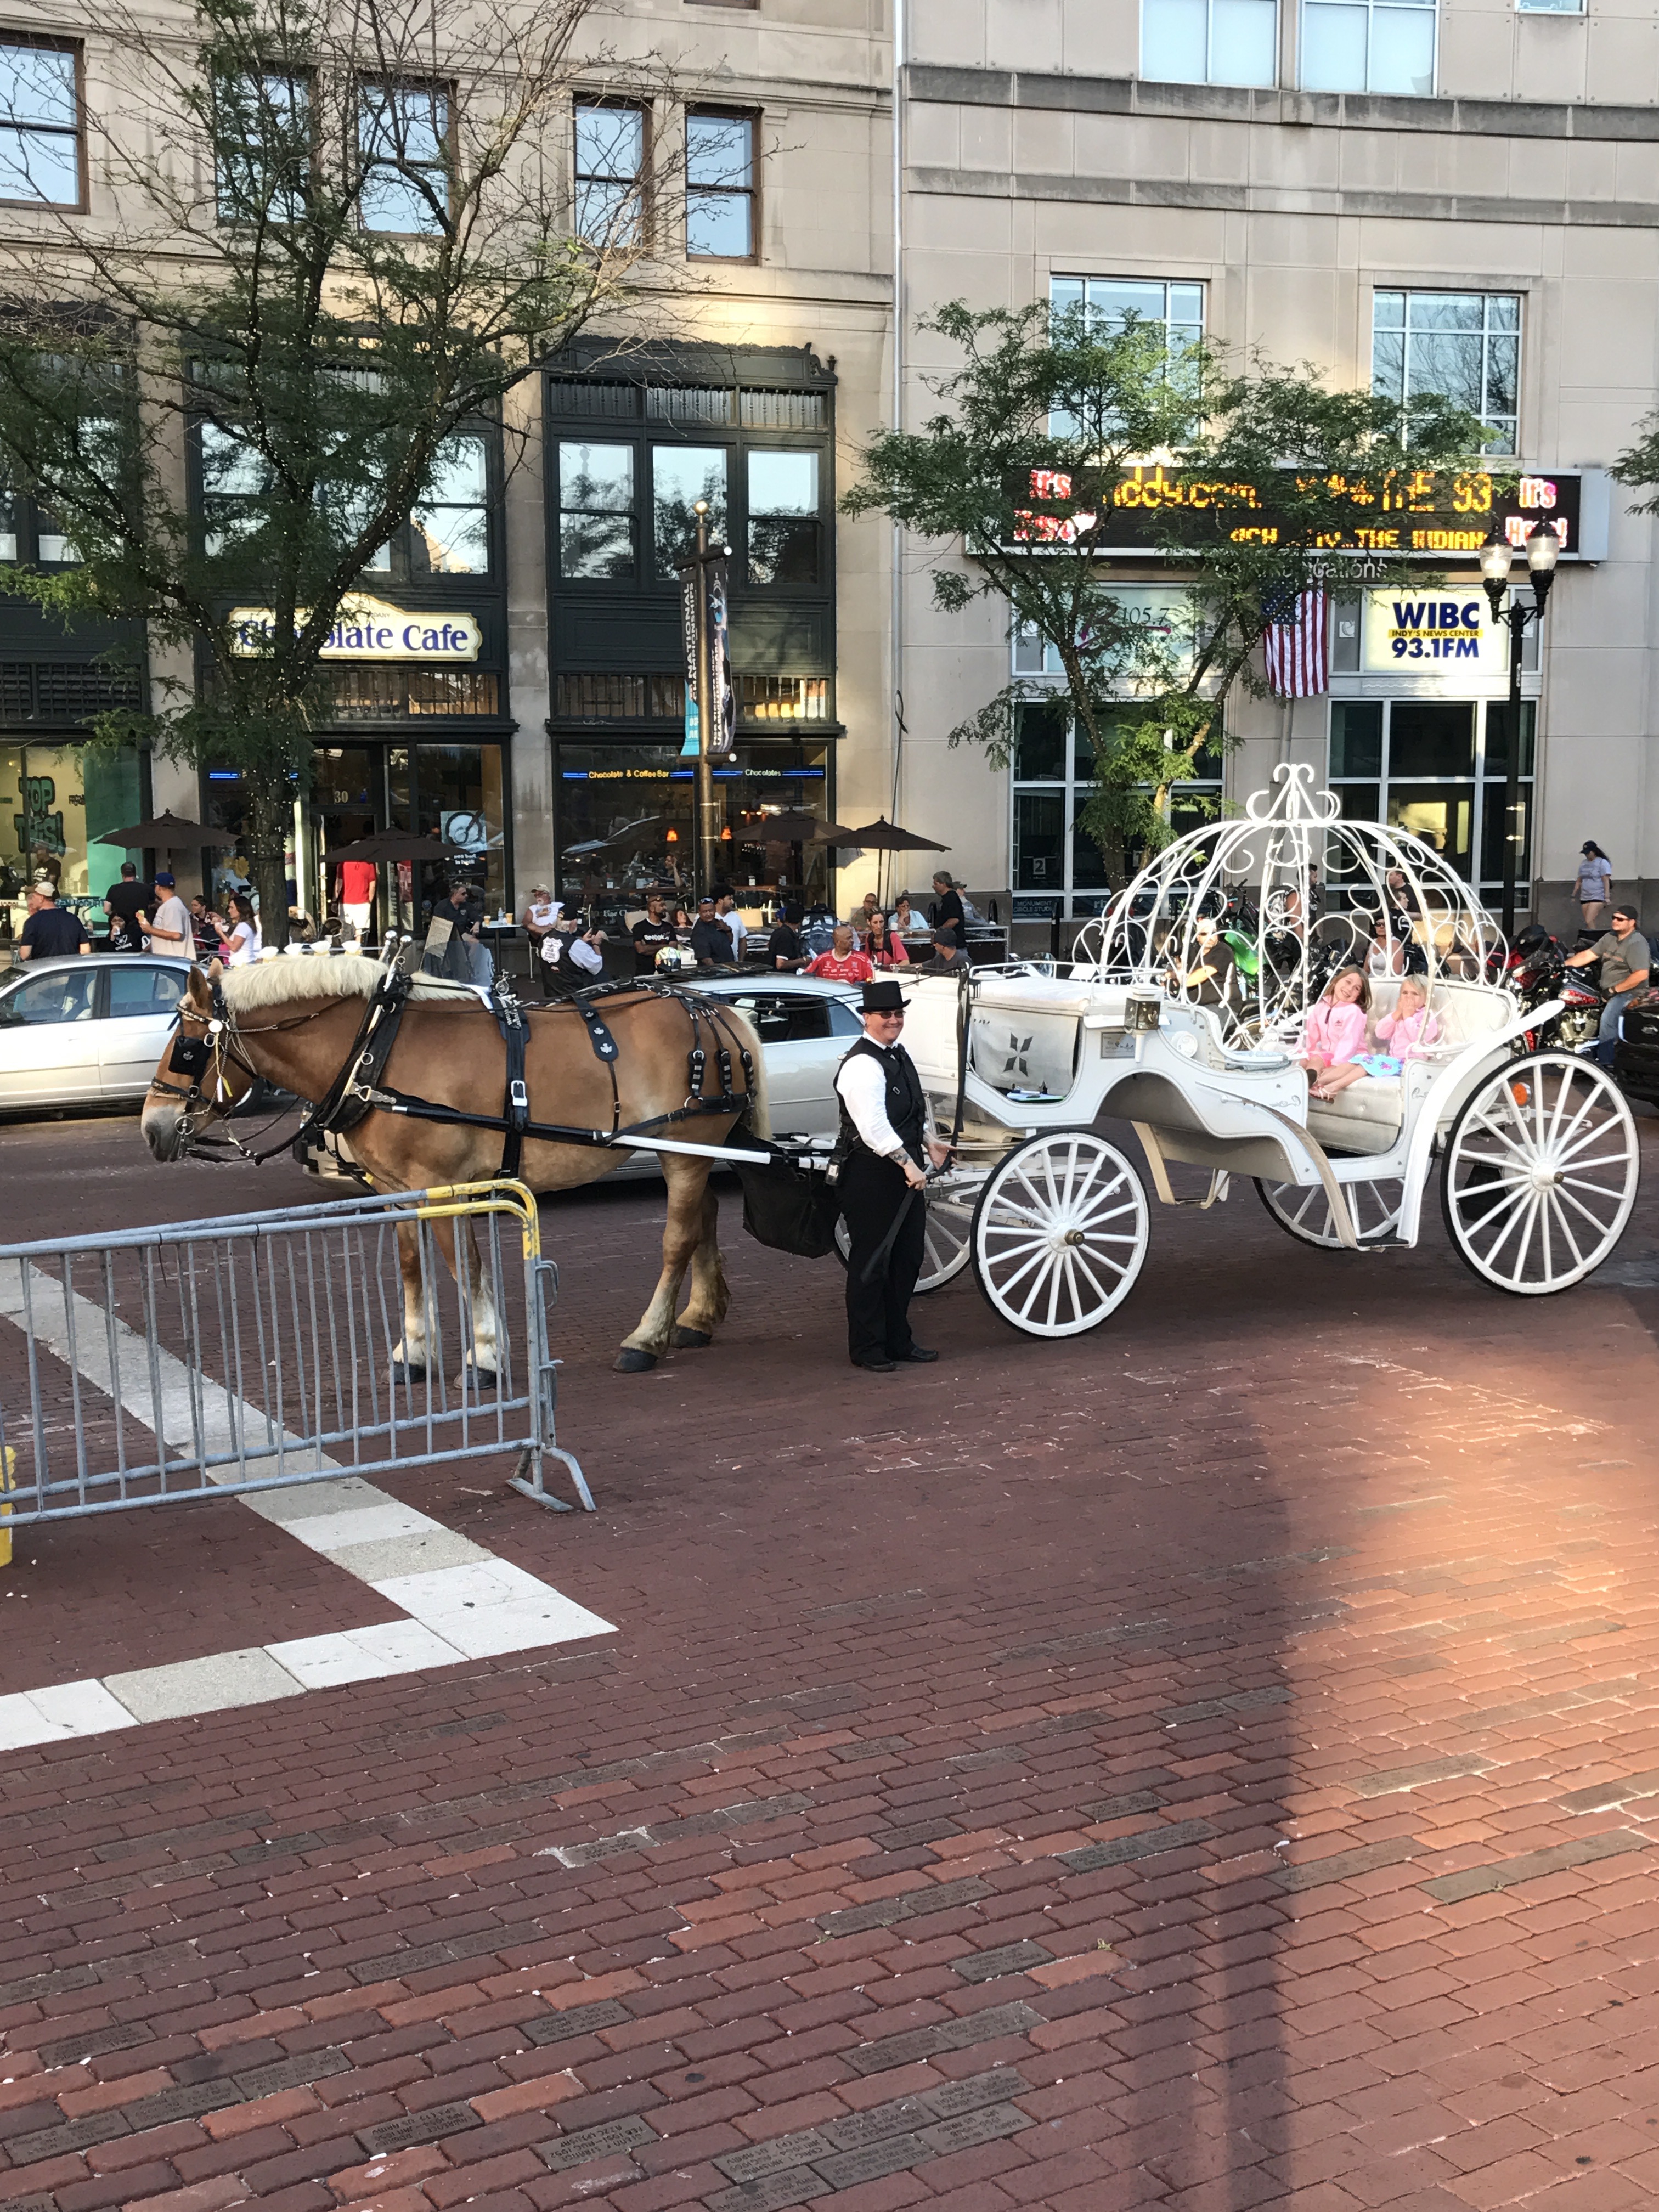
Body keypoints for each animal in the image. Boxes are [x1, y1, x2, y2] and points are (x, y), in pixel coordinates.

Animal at [141, 956, 769, 1374]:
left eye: (187, 1049)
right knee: (706, 1217)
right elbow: (412, 1265)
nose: (152, 1127)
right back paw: (697, 1319)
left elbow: (463, 1266)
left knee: (679, 1237)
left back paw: (646, 1338)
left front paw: (486, 1354)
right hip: (693, 1153)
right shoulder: (397, 1188)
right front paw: (415, 1352)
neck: (377, 1049)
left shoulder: (441, 1183)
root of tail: (717, 1010)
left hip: (683, 1149)